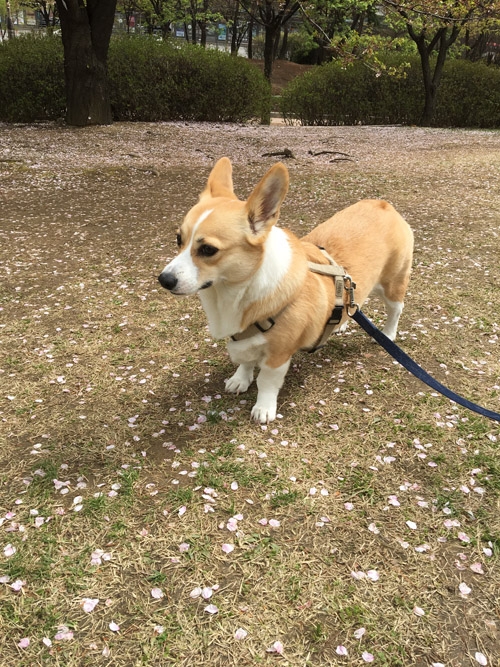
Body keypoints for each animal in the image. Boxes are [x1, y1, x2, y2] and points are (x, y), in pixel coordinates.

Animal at [158, 157, 412, 422]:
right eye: (178, 239)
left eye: (208, 249)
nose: (164, 279)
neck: (238, 289)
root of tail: (383, 204)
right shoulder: (244, 338)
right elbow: (246, 361)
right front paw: (240, 379)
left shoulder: (278, 355)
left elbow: (267, 382)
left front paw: (263, 408)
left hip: (392, 283)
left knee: (396, 309)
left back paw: (388, 333)